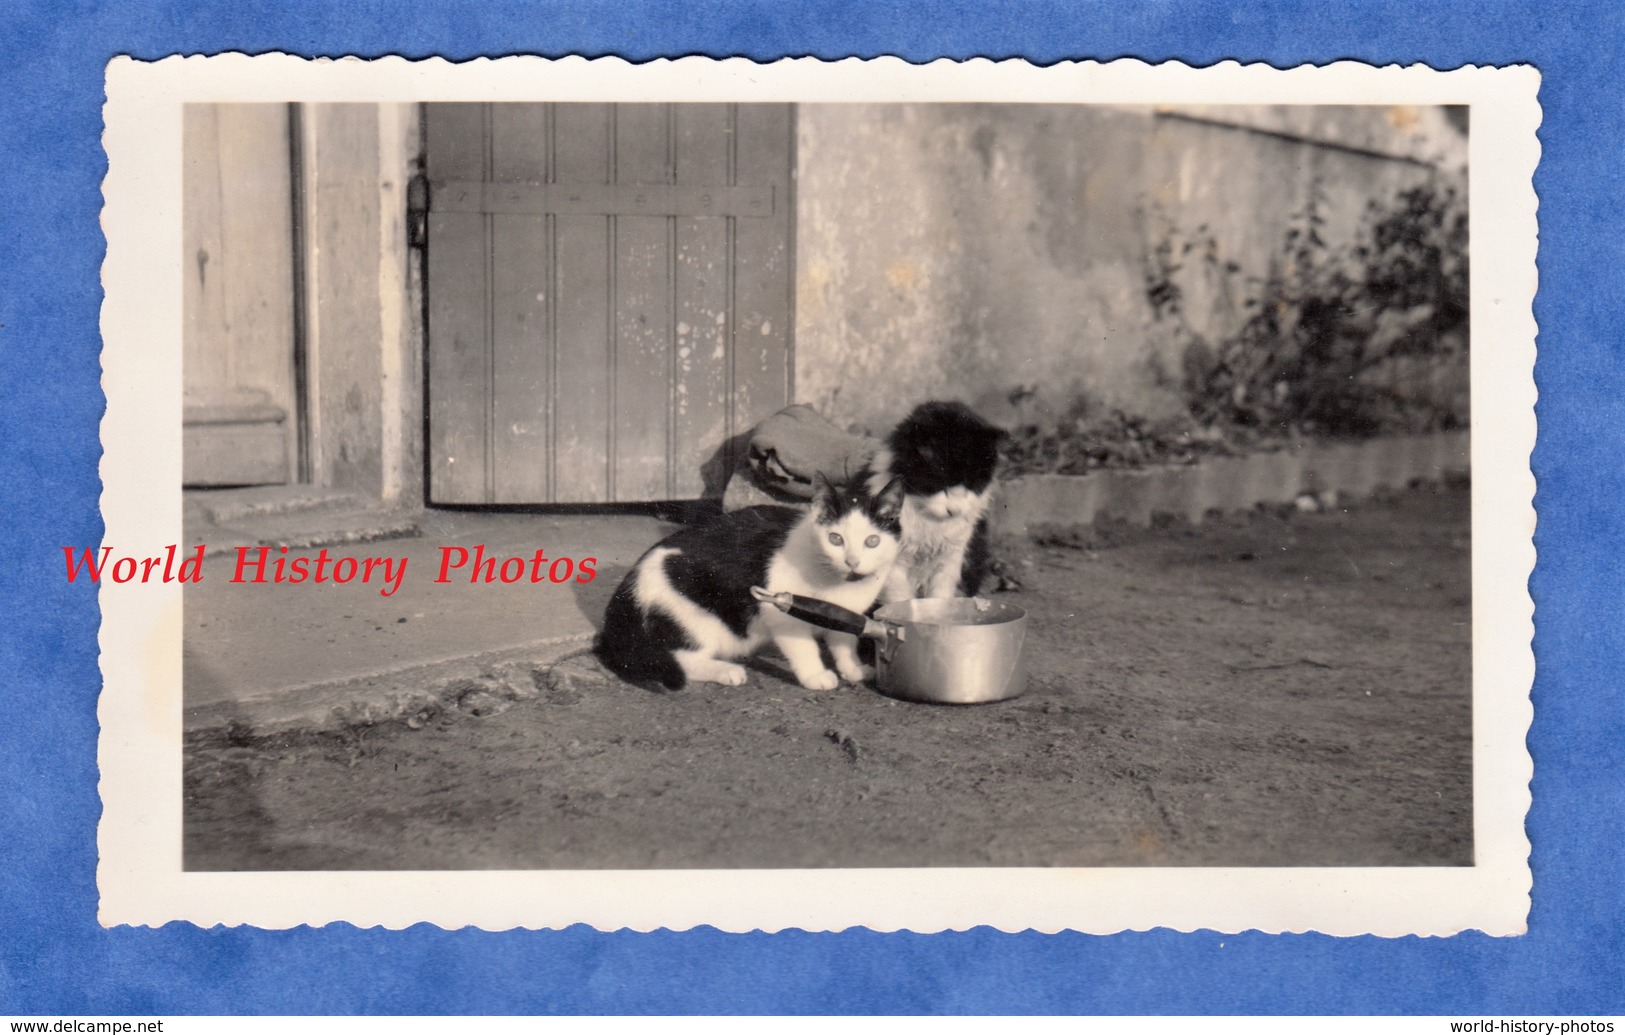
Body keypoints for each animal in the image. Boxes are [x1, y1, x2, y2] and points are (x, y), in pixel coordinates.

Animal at [598, 471, 910, 688]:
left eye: (872, 541)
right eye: (835, 539)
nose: (852, 562)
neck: (837, 583)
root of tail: (626, 592)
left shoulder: (843, 614)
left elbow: (844, 642)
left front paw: (853, 669)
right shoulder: (782, 609)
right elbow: (804, 645)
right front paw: (815, 675)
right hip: (694, 617)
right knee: (683, 658)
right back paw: (726, 670)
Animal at [864, 399, 1001, 601]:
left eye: (972, 485)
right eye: (940, 483)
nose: (954, 511)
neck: (930, 521)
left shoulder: (952, 558)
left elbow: (941, 595)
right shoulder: (893, 562)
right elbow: (900, 597)